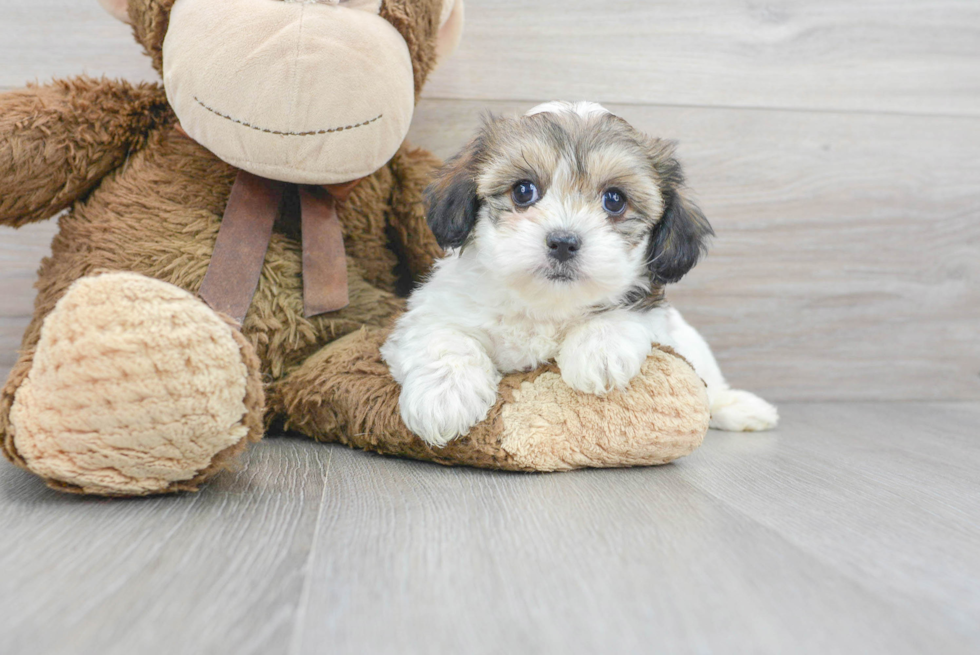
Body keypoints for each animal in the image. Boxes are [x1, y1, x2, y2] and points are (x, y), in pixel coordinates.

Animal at [382, 102, 780, 448]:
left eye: (614, 200)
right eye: (523, 191)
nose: (563, 241)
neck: (544, 304)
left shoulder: (655, 317)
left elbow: (625, 315)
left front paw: (598, 349)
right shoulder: (433, 311)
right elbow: (444, 338)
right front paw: (444, 395)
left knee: (710, 383)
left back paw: (739, 408)